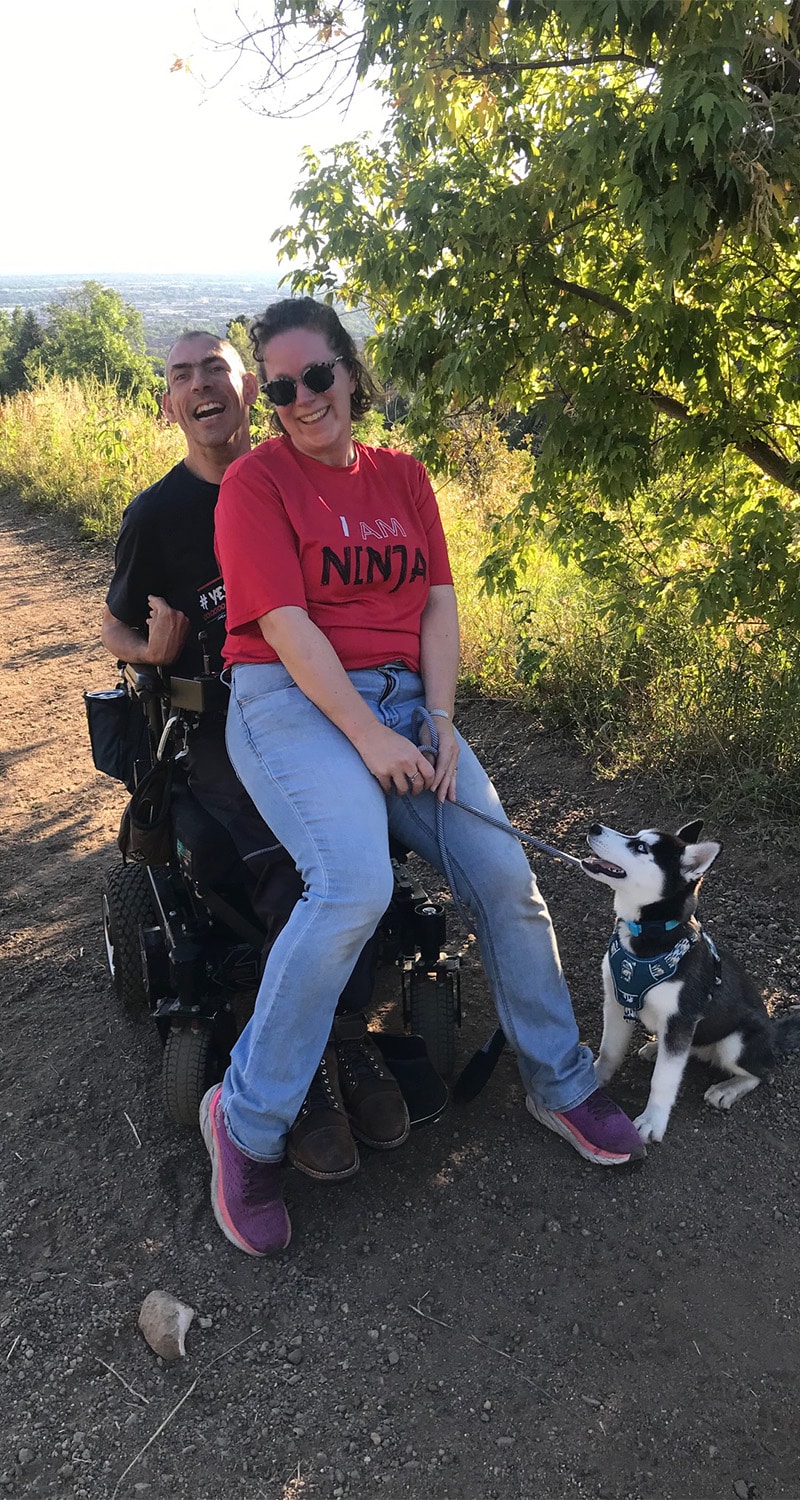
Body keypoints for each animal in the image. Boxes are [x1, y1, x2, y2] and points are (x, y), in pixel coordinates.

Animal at [579, 822, 798, 1134]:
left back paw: (727, 1088)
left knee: (763, 1073)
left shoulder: (681, 1018)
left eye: (641, 847)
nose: (594, 827)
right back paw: (657, 1047)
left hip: (735, 1042)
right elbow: (609, 1050)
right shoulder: (617, 1002)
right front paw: (593, 1080)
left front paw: (653, 1120)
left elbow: (663, 1079)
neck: (648, 933)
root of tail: (773, 1036)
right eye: (637, 835)